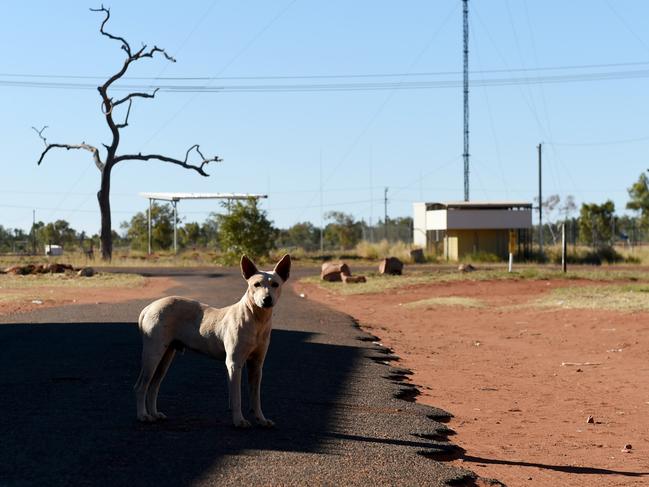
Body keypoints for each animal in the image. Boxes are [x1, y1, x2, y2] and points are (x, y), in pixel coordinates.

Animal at [134, 254, 292, 428]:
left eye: (275, 284)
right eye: (256, 284)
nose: (266, 299)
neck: (256, 319)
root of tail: (149, 307)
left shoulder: (256, 365)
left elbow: (256, 397)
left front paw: (261, 419)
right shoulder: (234, 364)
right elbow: (236, 397)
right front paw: (239, 420)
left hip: (166, 356)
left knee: (154, 386)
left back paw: (154, 413)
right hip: (153, 355)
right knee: (141, 386)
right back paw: (143, 415)